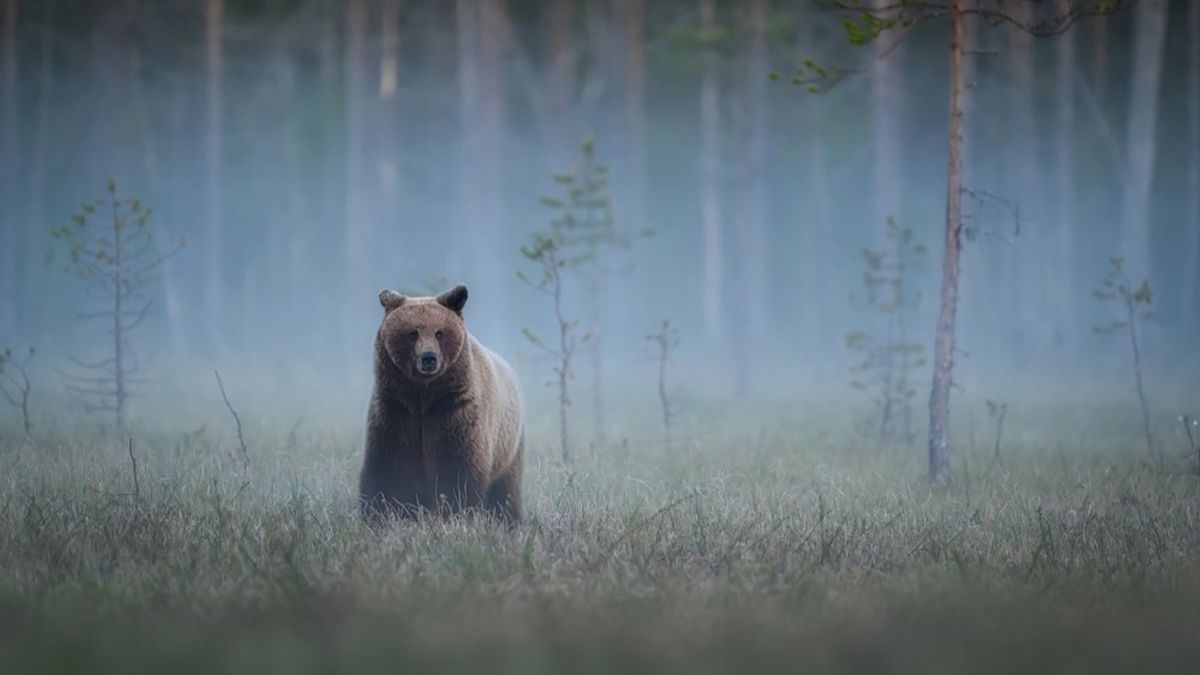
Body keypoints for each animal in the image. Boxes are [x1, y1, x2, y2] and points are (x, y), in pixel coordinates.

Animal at [358, 284, 525, 524]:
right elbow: (387, 468)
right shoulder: (395, 410)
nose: (429, 358)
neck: (423, 398)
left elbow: (458, 470)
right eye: (413, 333)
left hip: (508, 446)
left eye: (439, 333)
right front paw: (379, 515)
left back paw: (509, 520)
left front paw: (455, 514)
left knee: (505, 490)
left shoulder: (454, 412)